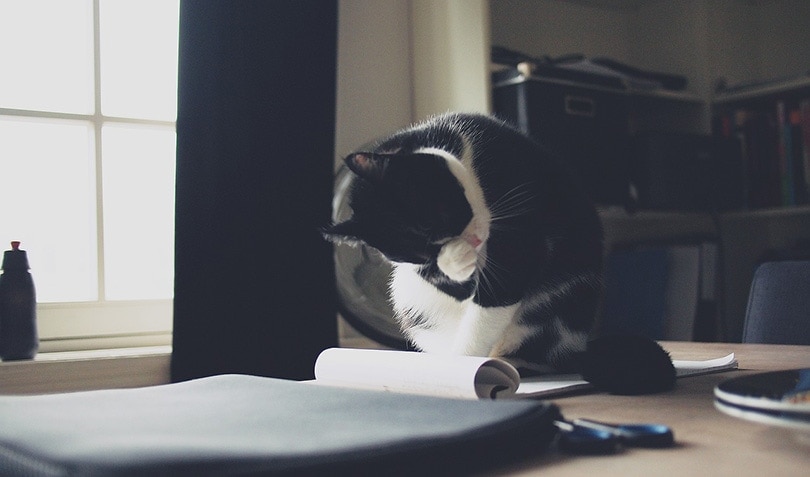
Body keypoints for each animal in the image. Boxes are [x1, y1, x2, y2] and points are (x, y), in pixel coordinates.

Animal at [326, 112, 604, 372]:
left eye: (439, 219)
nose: (476, 241)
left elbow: (500, 290)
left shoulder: (522, 210)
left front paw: (462, 368)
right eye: (423, 257)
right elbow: (457, 287)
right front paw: (458, 264)